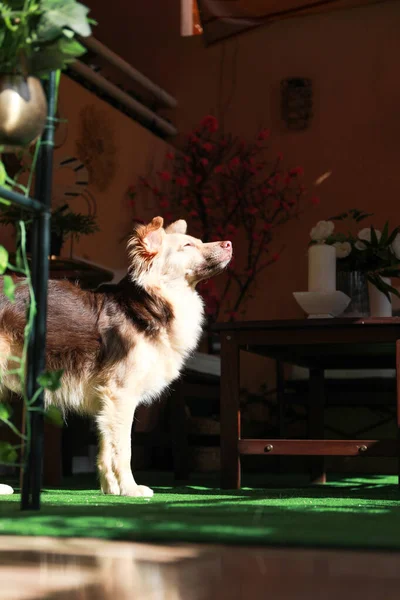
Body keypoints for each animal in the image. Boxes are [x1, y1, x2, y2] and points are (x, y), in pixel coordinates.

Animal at [0, 216, 231, 496]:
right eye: (188, 245)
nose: (229, 243)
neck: (152, 303)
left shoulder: (107, 402)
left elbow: (106, 451)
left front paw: (111, 489)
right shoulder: (121, 395)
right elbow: (124, 449)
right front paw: (131, 490)